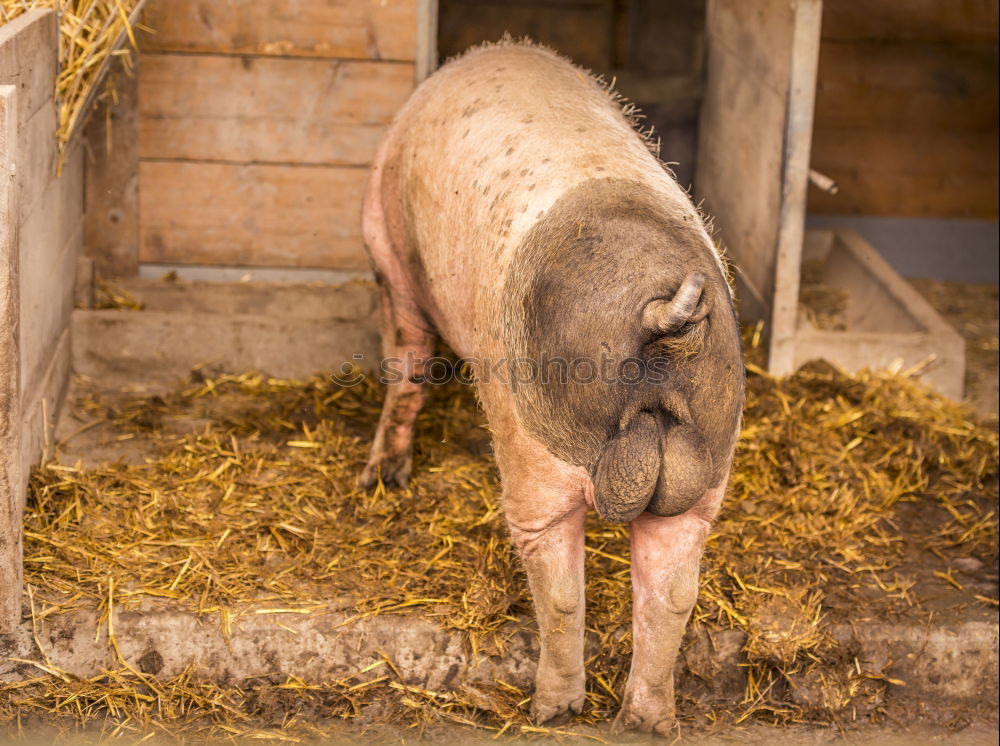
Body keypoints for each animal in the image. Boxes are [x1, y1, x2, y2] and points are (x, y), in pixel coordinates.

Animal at [360, 40, 744, 732]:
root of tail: (663, 319)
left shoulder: (390, 257)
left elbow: (408, 367)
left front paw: (382, 479)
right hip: (711, 459)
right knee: (672, 591)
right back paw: (645, 723)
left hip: (530, 443)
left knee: (558, 580)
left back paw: (551, 710)